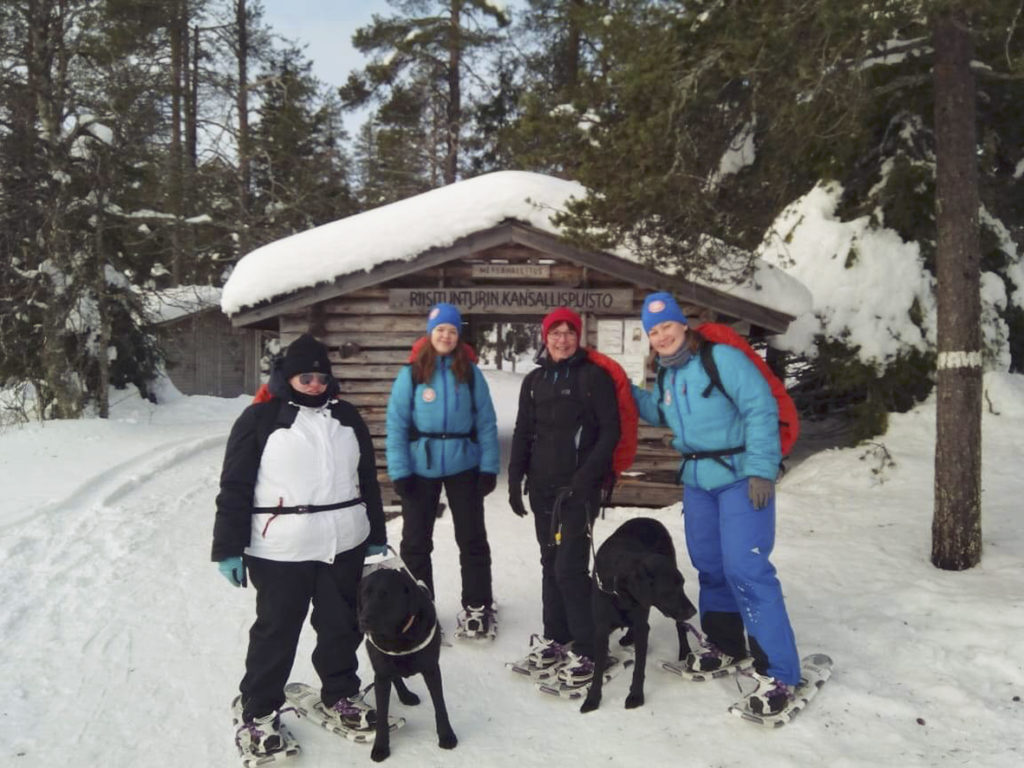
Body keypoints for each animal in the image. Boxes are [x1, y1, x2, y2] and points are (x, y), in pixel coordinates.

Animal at [358, 565, 458, 765]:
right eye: (364, 594)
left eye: (385, 594)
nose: (363, 620)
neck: (398, 637)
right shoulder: (381, 674)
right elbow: (382, 716)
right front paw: (381, 747)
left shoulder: (431, 669)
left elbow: (440, 706)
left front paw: (446, 735)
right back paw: (405, 695)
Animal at [581, 518, 700, 716]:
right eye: (670, 589)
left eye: (682, 584)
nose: (693, 611)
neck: (619, 591)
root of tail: (650, 519)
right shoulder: (601, 630)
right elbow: (598, 670)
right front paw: (592, 699)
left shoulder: (642, 626)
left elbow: (639, 668)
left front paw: (635, 696)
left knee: (679, 626)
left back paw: (684, 650)